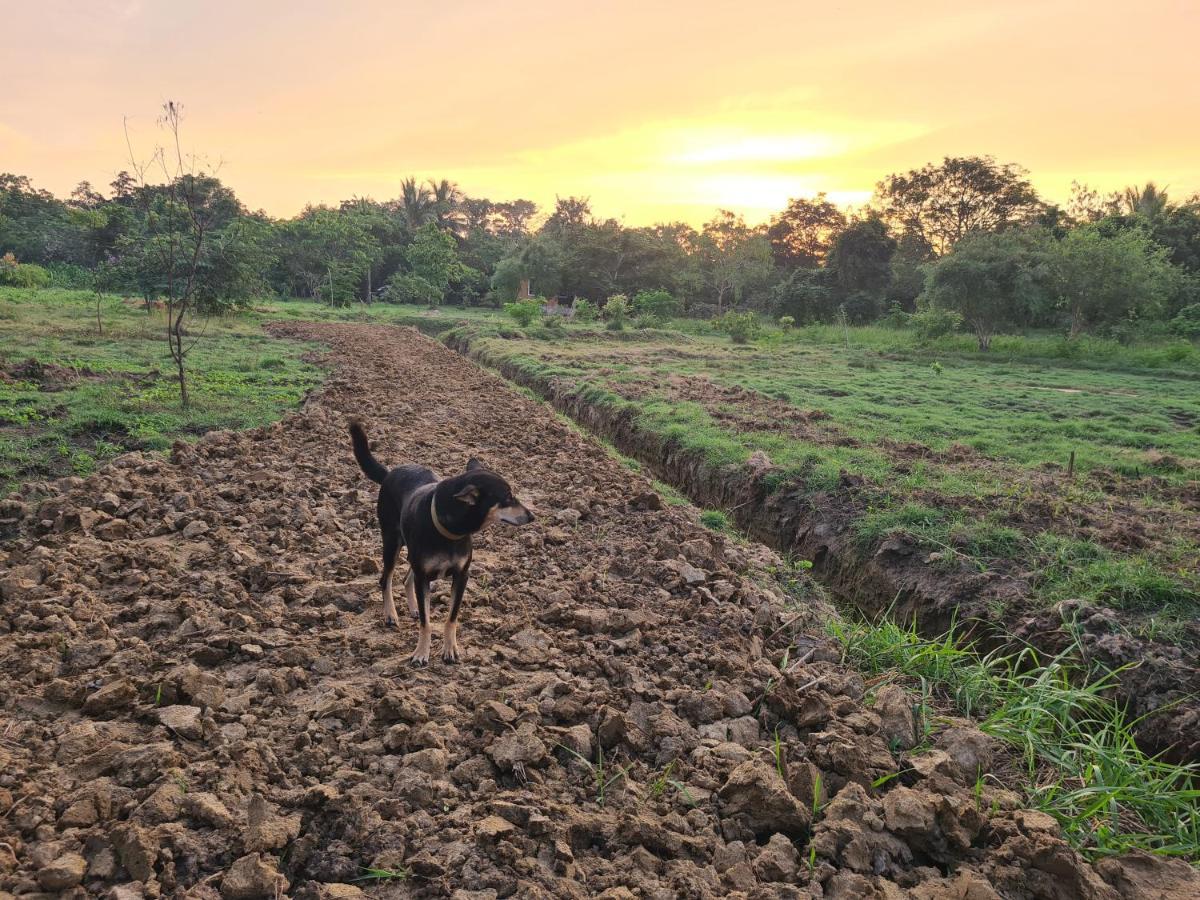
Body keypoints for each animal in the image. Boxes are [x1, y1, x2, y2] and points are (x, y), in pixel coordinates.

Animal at [348, 424, 535, 672]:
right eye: (507, 497)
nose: (532, 516)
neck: (451, 531)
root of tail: (389, 473)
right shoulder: (424, 575)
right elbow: (427, 623)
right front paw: (421, 653)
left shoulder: (461, 575)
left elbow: (451, 618)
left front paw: (450, 650)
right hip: (391, 541)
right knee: (385, 579)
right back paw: (391, 615)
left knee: (406, 579)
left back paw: (413, 608)